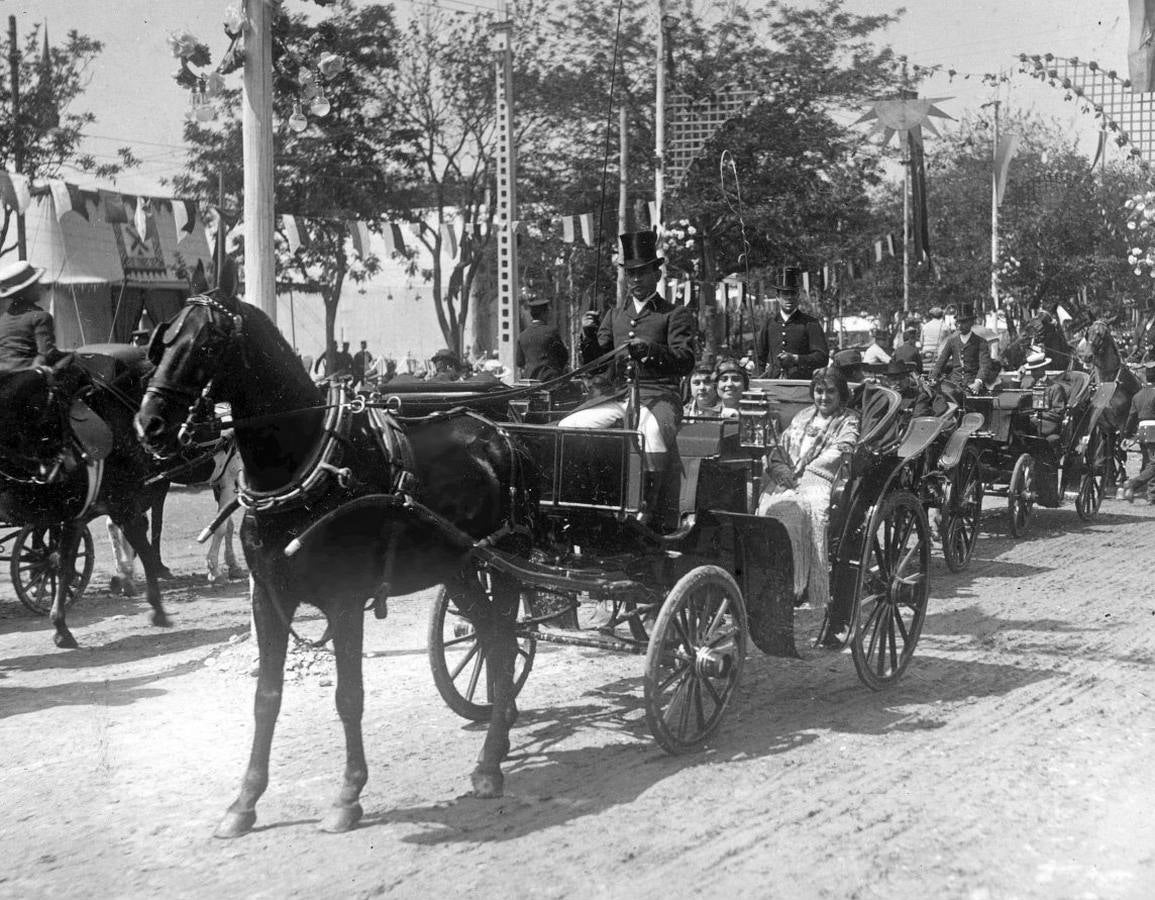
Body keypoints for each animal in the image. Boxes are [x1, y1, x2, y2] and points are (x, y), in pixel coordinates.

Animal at [0, 351, 169, 646]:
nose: (69, 461)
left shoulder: (77, 516)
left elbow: (63, 564)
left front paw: (60, 626)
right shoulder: (124, 506)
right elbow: (146, 550)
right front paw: (156, 607)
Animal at [135, 288, 531, 836]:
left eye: (207, 345)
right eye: (161, 343)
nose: (148, 425)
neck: (308, 469)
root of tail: (498, 430)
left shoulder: (344, 602)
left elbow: (349, 697)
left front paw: (348, 793)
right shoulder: (268, 601)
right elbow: (266, 697)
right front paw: (245, 801)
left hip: (500, 561)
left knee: (503, 638)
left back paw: (491, 760)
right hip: (461, 568)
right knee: (493, 636)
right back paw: (500, 733)